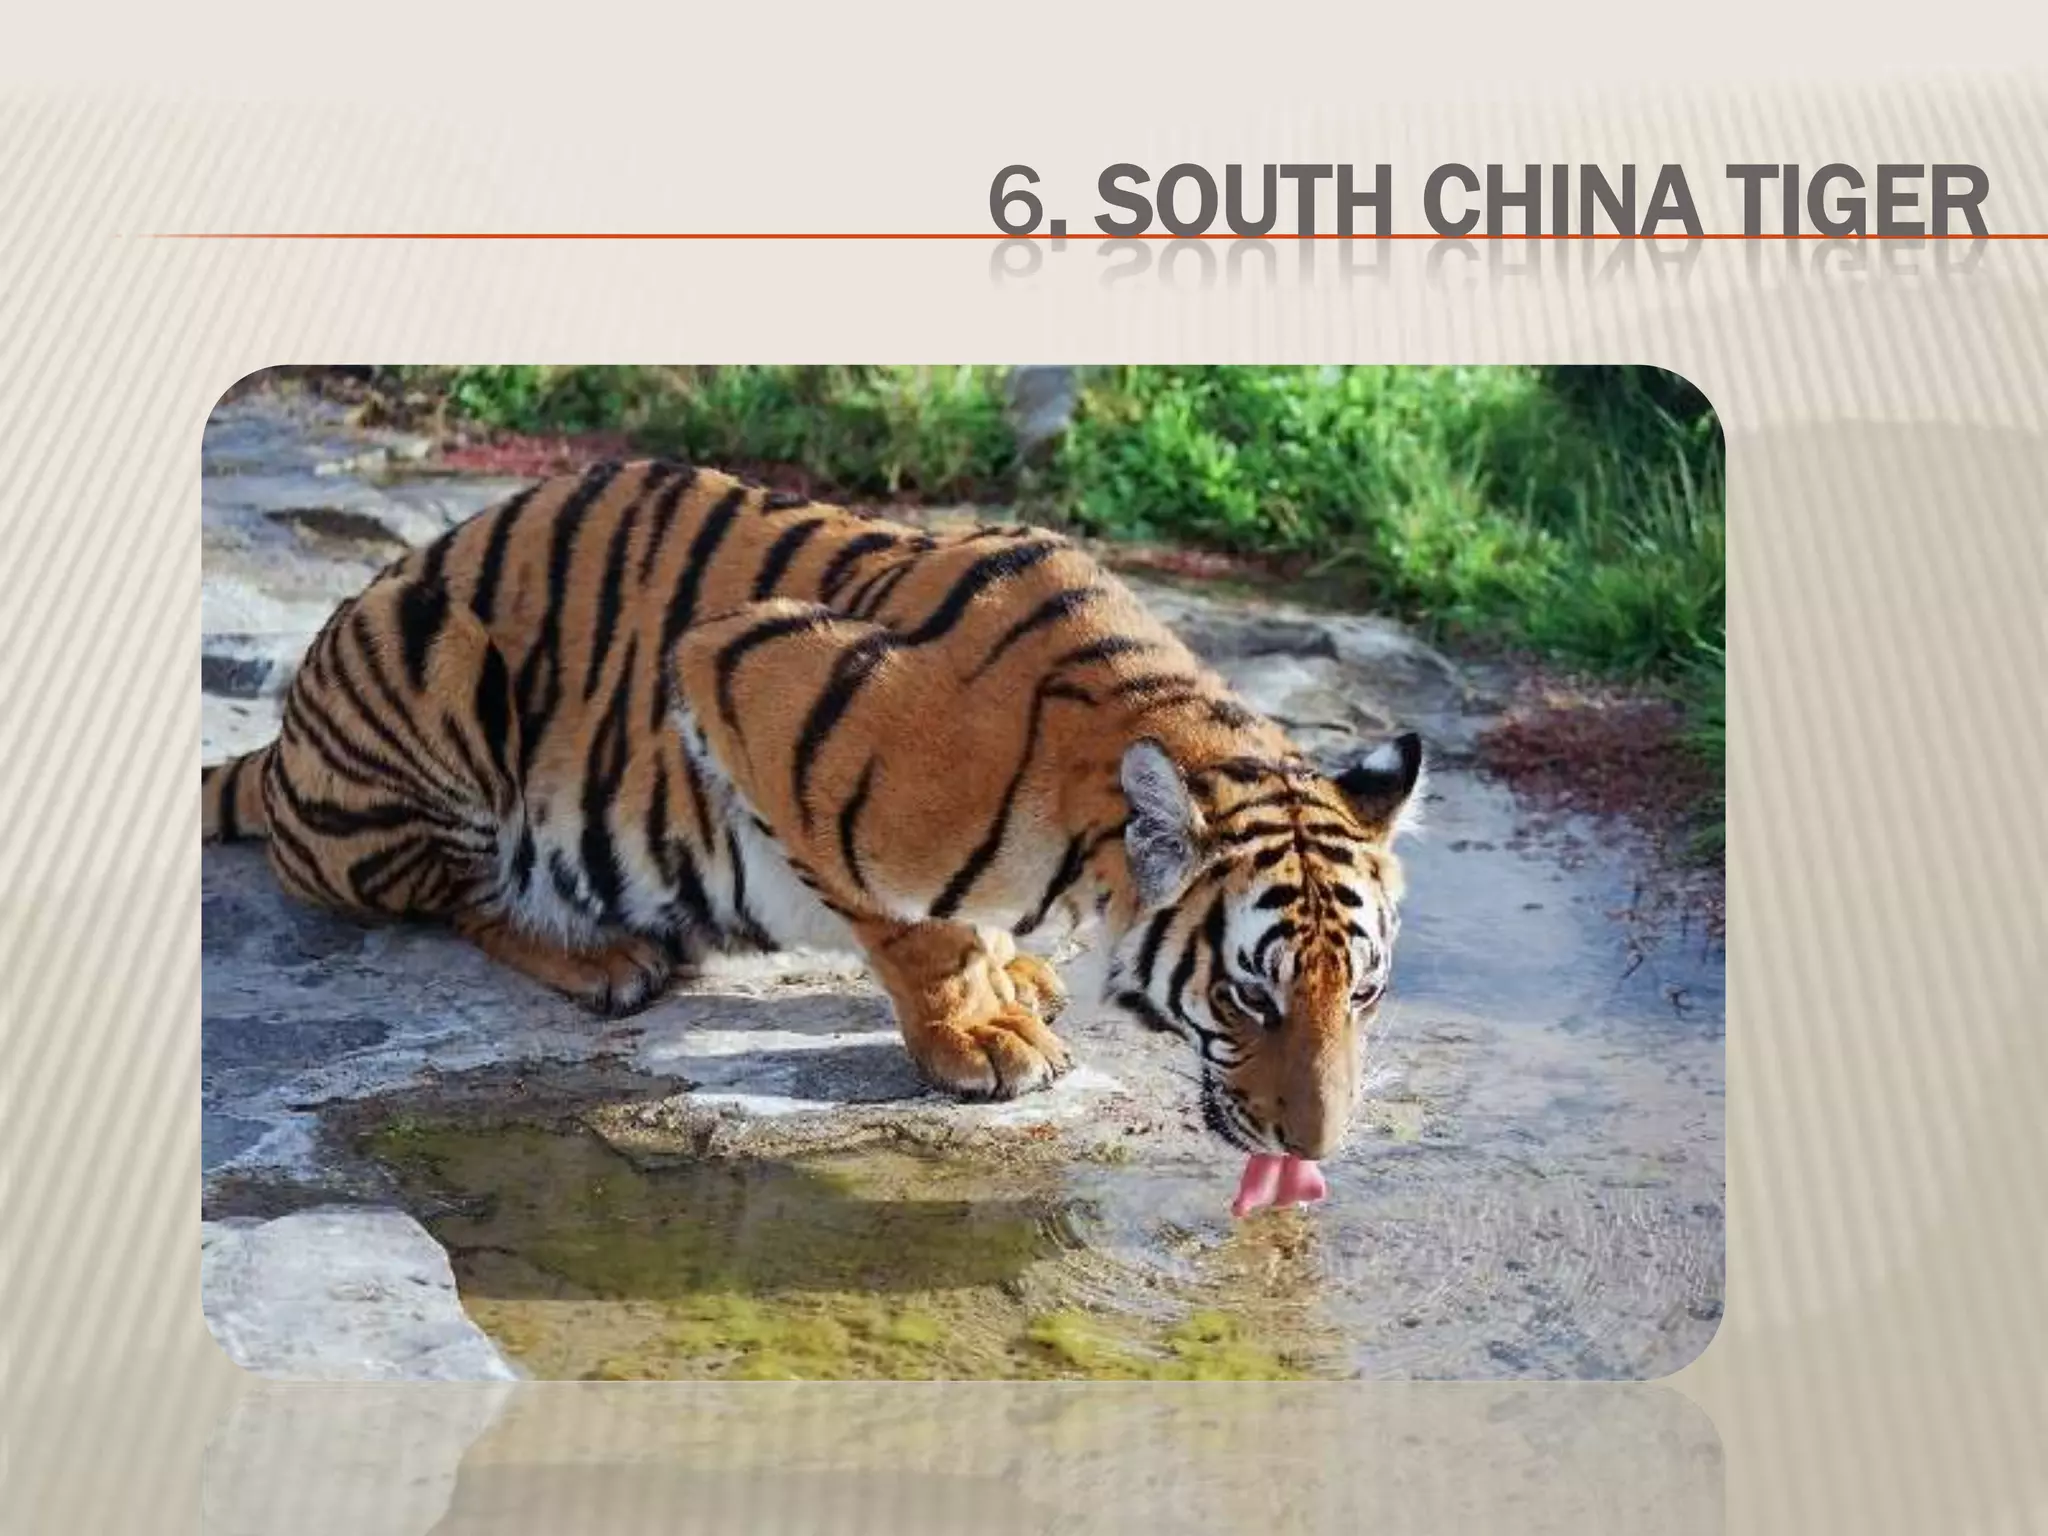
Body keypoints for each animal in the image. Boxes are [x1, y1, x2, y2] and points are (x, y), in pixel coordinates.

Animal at [200, 459, 1423, 1161]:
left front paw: (1013, 973)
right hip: (436, 653)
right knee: (454, 895)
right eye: (1246, 995)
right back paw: (601, 955)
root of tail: (281, 747)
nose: (1316, 1151)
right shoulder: (741, 673)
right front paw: (978, 1033)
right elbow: (916, 932)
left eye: (1360, 995)